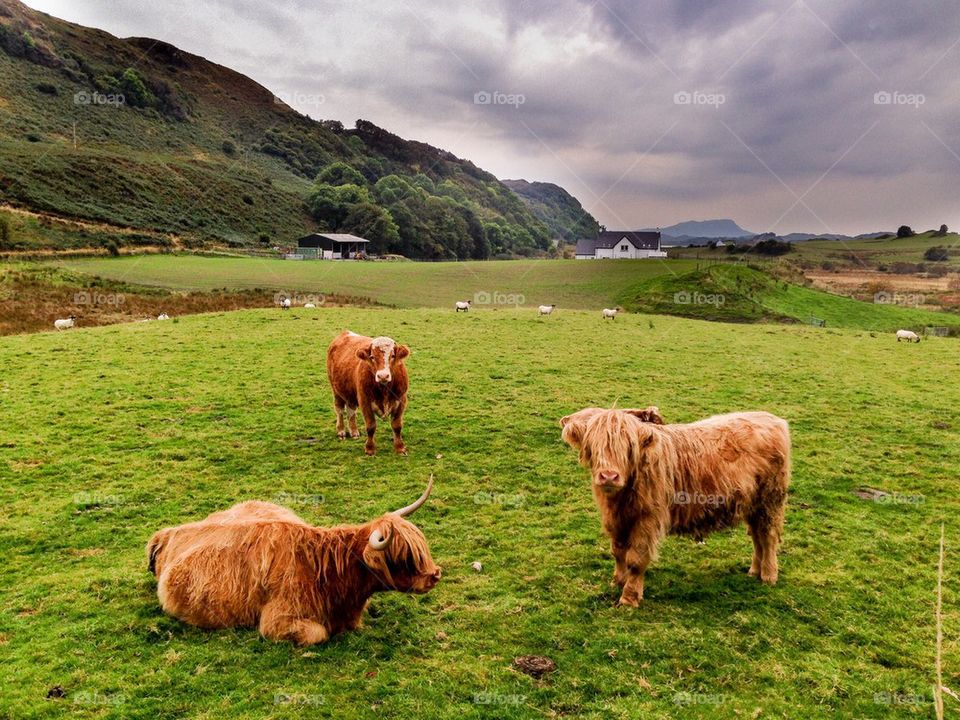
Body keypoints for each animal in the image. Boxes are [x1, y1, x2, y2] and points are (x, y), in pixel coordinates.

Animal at [560, 407, 790, 606]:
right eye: (592, 445)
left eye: (628, 447)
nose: (609, 476)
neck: (621, 498)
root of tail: (772, 419)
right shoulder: (616, 519)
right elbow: (617, 552)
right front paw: (617, 581)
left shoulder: (648, 518)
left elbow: (635, 560)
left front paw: (629, 598)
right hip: (753, 506)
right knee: (757, 537)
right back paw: (754, 571)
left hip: (770, 501)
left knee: (768, 537)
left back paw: (769, 575)